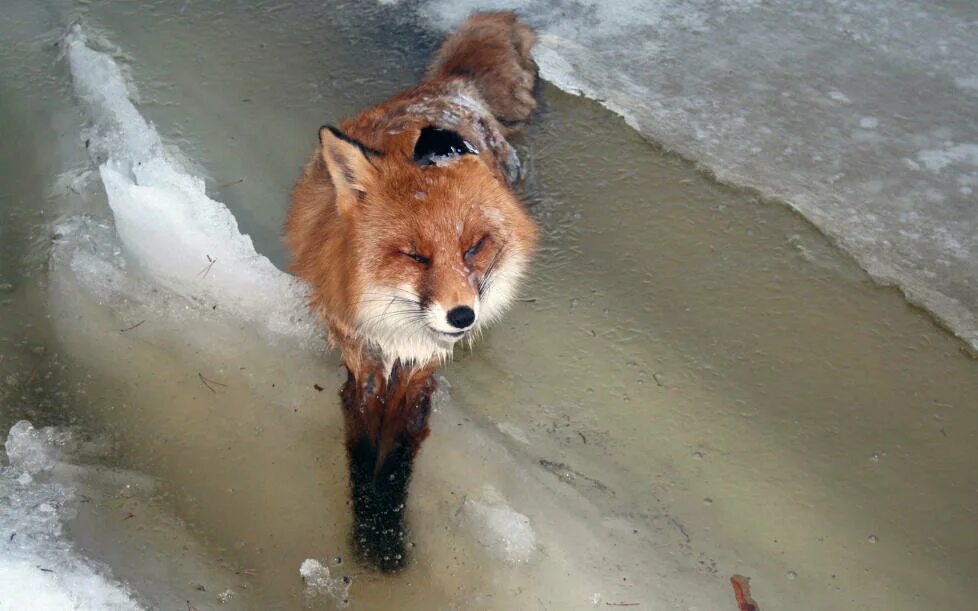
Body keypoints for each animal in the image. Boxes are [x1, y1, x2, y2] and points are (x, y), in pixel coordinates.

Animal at [286, 11, 536, 572]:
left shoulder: (422, 367)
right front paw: (368, 535)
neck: (398, 332)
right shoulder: (361, 357)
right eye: (415, 255)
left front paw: (388, 539)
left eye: (473, 248)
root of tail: (450, 89)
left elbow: (398, 452)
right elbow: (363, 452)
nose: (462, 317)